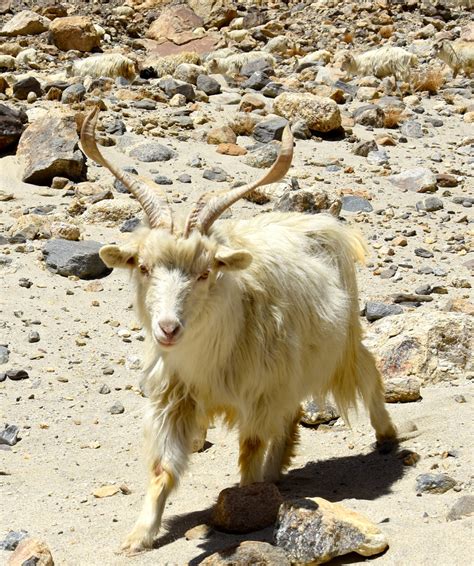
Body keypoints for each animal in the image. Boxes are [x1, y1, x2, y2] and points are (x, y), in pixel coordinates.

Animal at [80, 106, 396, 556]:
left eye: (205, 272)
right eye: (142, 267)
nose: (168, 329)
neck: (210, 356)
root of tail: (315, 221)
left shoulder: (259, 395)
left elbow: (249, 451)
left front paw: (247, 503)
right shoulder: (176, 397)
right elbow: (162, 469)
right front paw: (138, 537)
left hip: (344, 341)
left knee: (367, 374)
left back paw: (387, 435)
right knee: (292, 414)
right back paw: (277, 472)